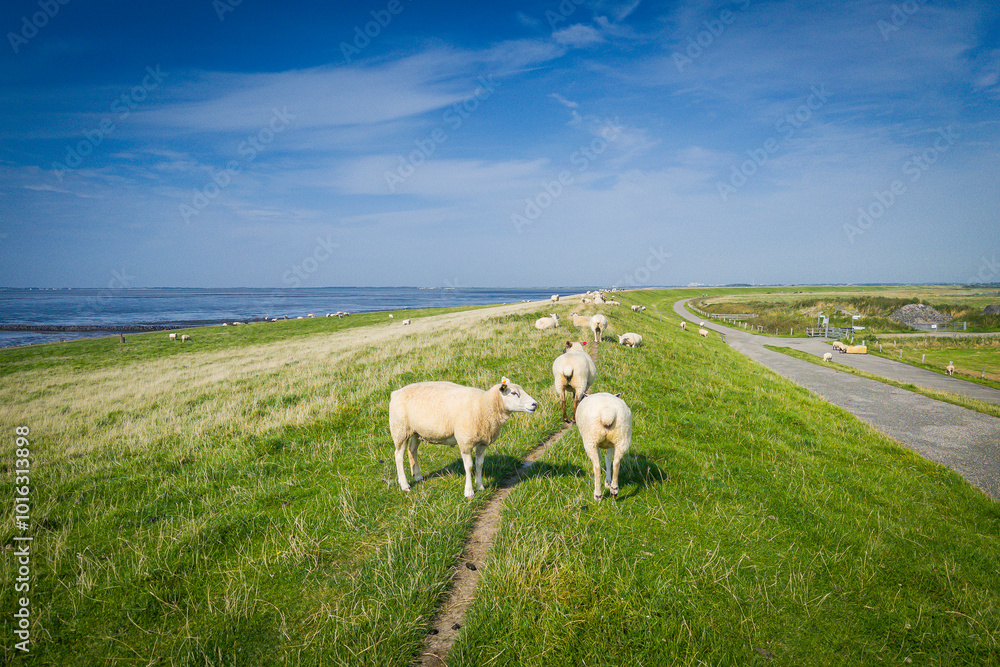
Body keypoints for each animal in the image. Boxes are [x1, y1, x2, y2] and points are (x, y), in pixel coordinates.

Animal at [389, 377, 538, 498]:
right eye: (513, 393)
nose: (535, 404)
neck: (484, 405)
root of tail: (395, 393)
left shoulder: (483, 443)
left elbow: (479, 464)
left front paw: (480, 486)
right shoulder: (465, 442)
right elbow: (469, 466)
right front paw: (469, 491)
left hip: (416, 431)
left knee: (412, 450)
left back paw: (418, 476)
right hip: (400, 430)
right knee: (398, 455)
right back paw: (404, 484)